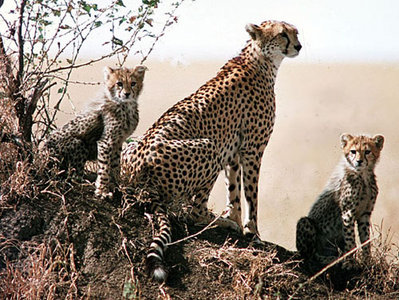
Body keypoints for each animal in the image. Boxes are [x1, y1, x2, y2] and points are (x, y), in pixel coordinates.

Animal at [123, 19, 302, 282]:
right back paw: (218, 222)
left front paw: (235, 219)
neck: (261, 60)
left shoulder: (234, 151)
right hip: (210, 148)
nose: (299, 46)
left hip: (132, 145)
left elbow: (234, 192)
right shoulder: (252, 149)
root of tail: (135, 175)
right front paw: (253, 232)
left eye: (295, 32)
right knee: (194, 211)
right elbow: (251, 195)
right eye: (282, 34)